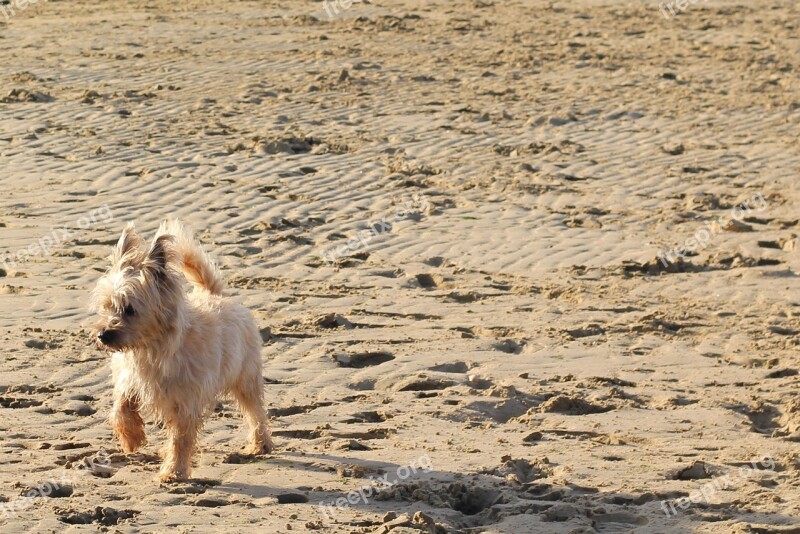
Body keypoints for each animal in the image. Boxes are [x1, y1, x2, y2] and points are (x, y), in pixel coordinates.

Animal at [90, 220, 272, 484]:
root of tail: (215, 295)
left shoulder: (186, 401)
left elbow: (181, 438)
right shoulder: (130, 378)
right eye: (106, 306)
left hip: (245, 377)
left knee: (255, 411)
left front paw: (173, 471)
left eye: (129, 309)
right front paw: (131, 437)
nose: (102, 335)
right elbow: (121, 406)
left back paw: (261, 444)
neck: (152, 348)